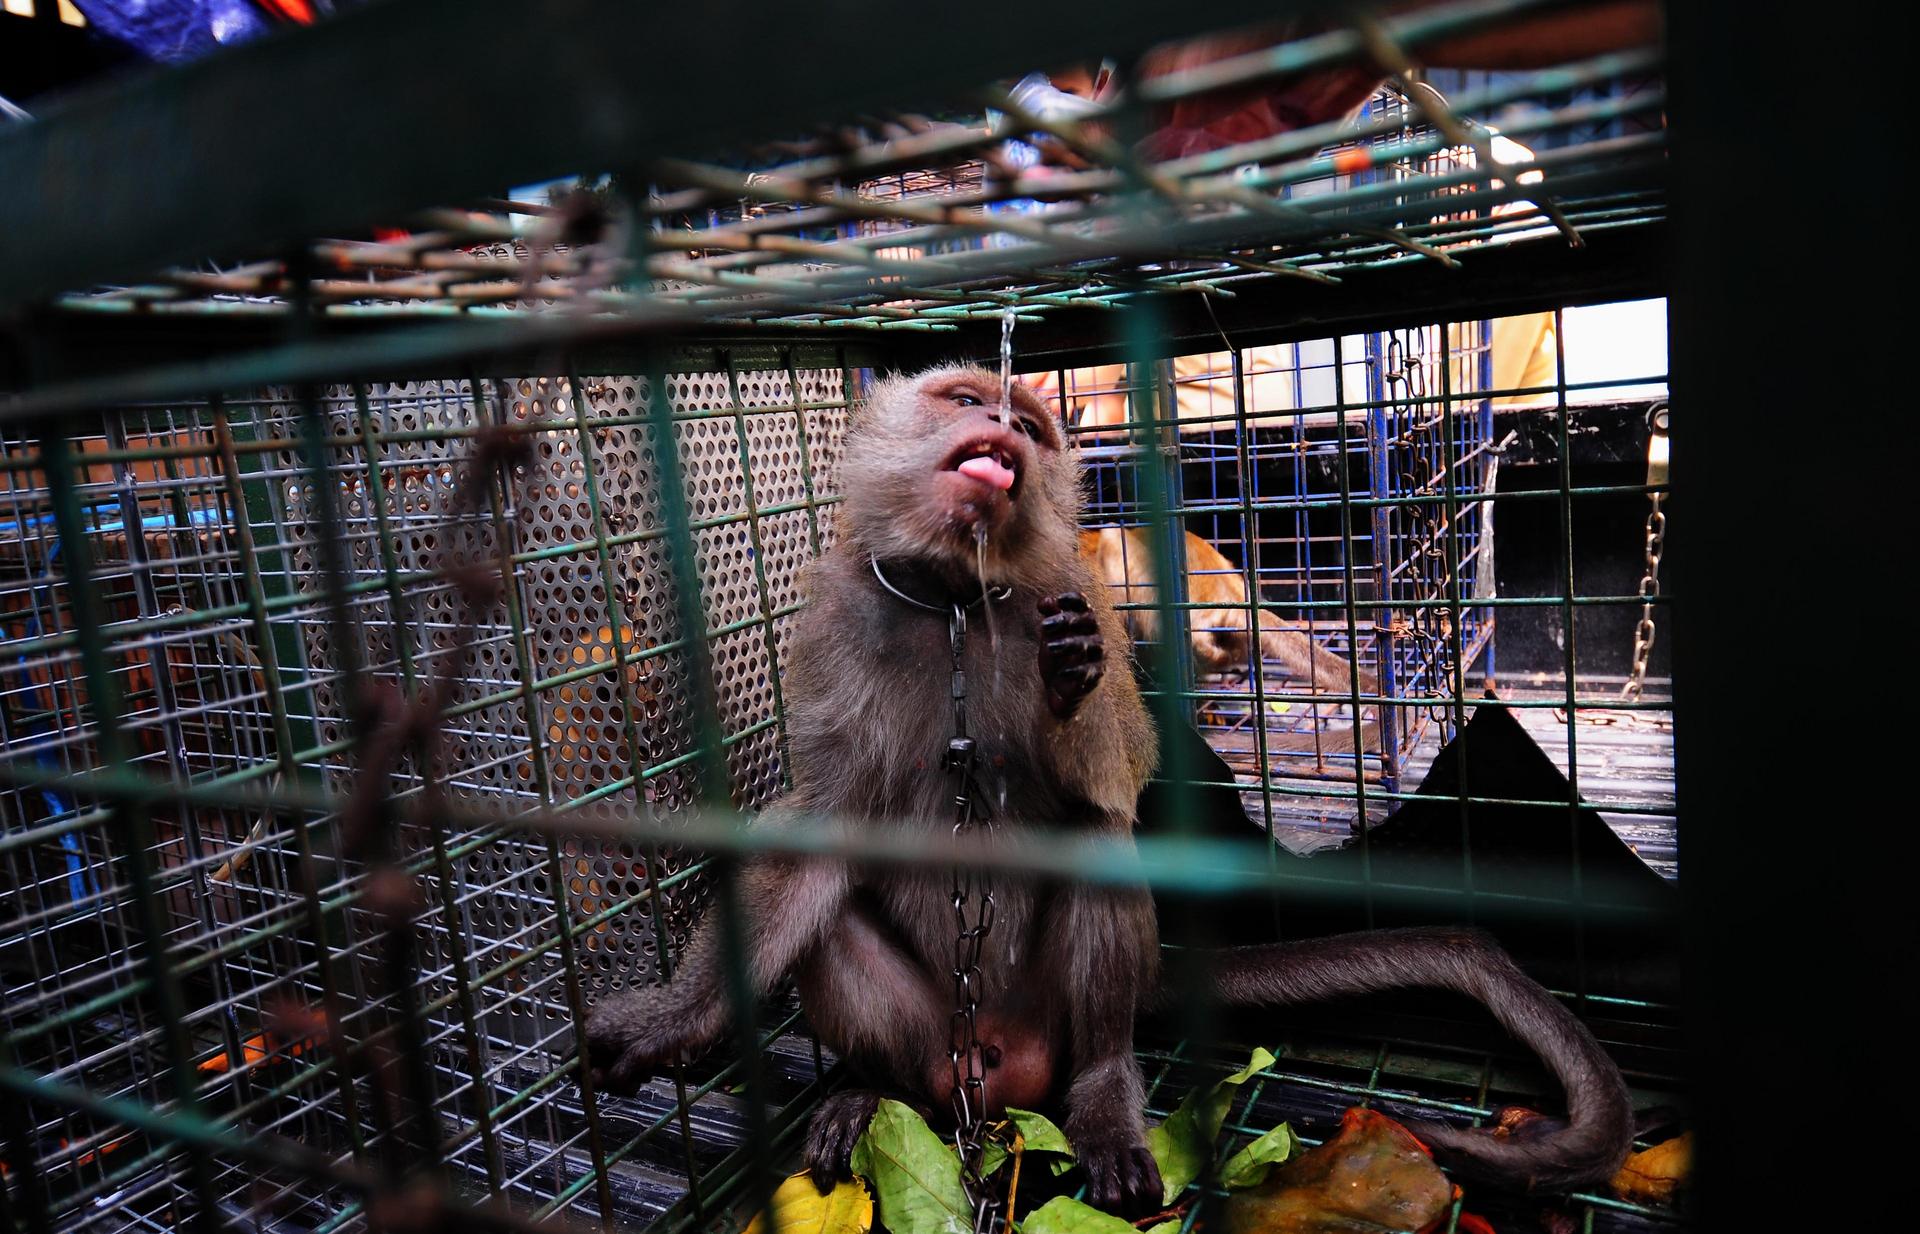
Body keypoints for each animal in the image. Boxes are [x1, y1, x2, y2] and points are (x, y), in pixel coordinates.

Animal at [579, 366, 1620, 1212]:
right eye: (967, 398)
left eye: (1030, 427)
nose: (1006, 421)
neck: (955, 604)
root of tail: (991, 1073)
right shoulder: (837, 627)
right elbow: (820, 830)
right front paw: (678, 1019)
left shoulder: (1079, 597)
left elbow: (1120, 776)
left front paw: (1069, 686)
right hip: (940, 1038)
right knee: (841, 933)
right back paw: (878, 1094)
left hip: (1058, 1021)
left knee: (1095, 846)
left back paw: (1106, 1098)